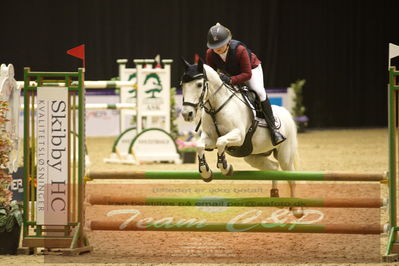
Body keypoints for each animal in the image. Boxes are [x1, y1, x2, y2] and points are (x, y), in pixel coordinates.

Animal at [181, 58, 304, 216]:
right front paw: (205, 172)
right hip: (253, 156)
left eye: (199, 84)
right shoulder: (210, 138)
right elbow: (200, 146)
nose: (187, 114)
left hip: (285, 155)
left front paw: (225, 167)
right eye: (182, 84)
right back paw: (275, 194)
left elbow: (221, 142)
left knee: (291, 178)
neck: (216, 107)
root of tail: (286, 113)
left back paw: (296, 209)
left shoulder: (238, 136)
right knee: (274, 167)